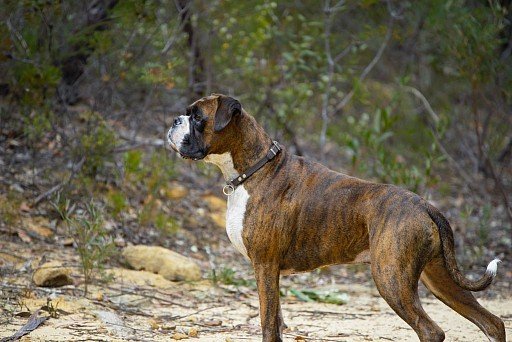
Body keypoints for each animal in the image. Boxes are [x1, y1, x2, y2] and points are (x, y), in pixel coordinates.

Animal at [166, 93, 506, 342]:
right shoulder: (270, 272)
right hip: (439, 279)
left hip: (392, 280)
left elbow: (267, 325)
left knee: (432, 331)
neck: (255, 168)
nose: (174, 120)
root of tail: (424, 204)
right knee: (492, 323)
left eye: (198, 117)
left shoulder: (264, 266)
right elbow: (276, 322)